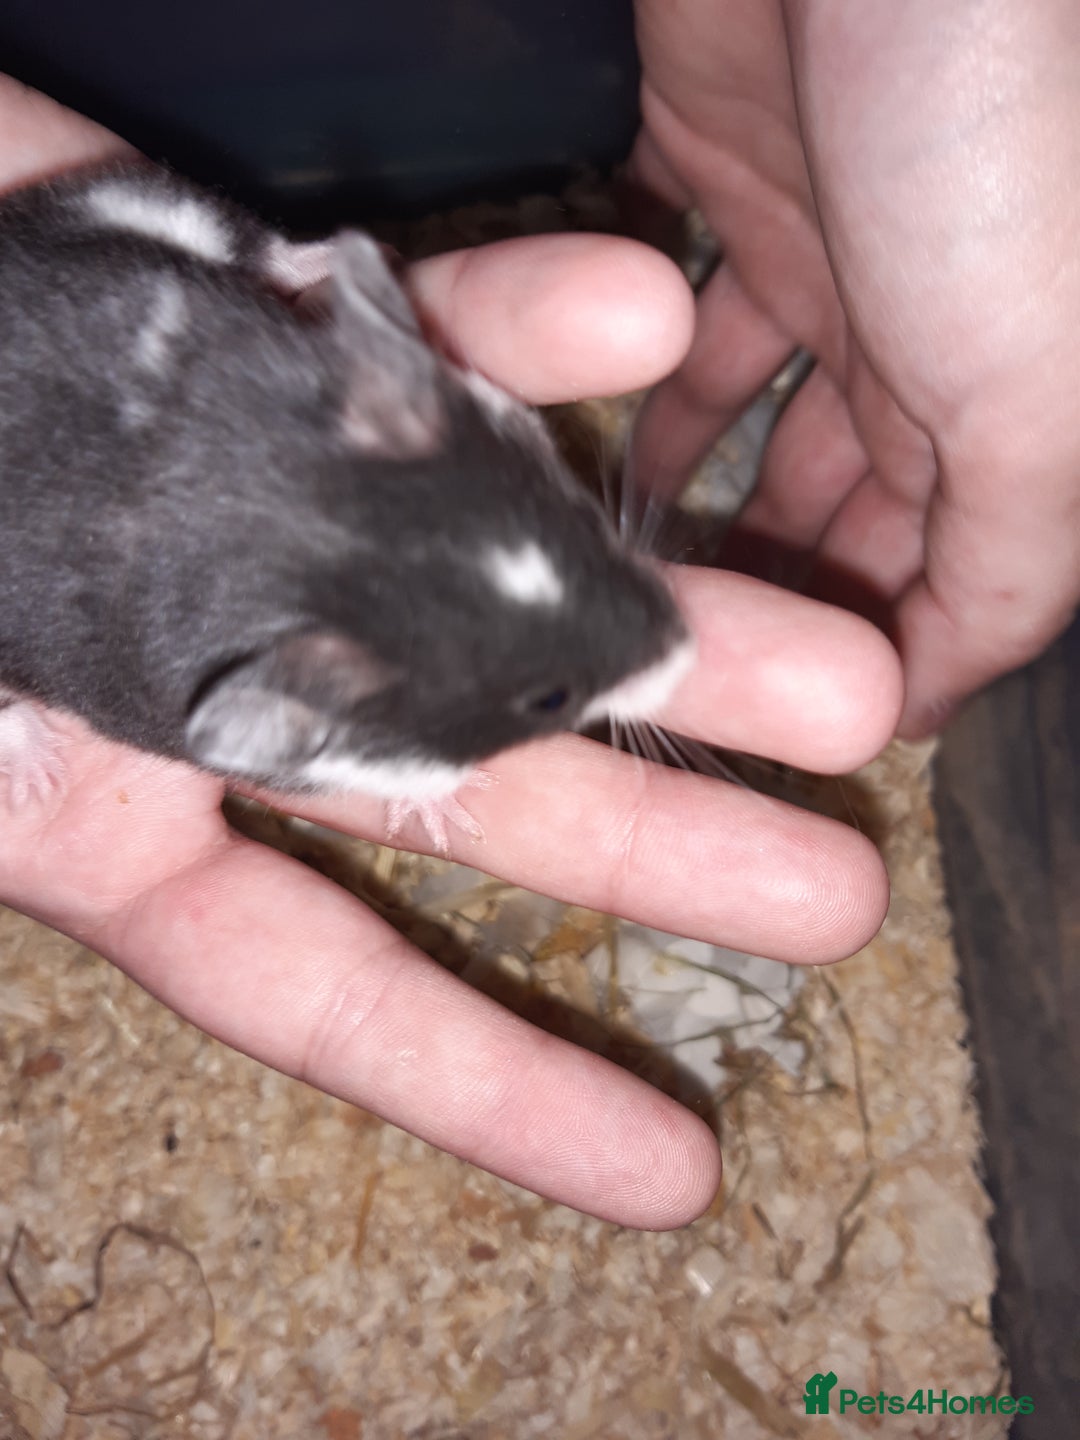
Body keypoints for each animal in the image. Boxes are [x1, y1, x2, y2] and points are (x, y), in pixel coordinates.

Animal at [0, 162, 693, 847]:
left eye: (589, 522)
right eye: (550, 699)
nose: (689, 653)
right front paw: (450, 820)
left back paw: (351, 258)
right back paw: (37, 777)